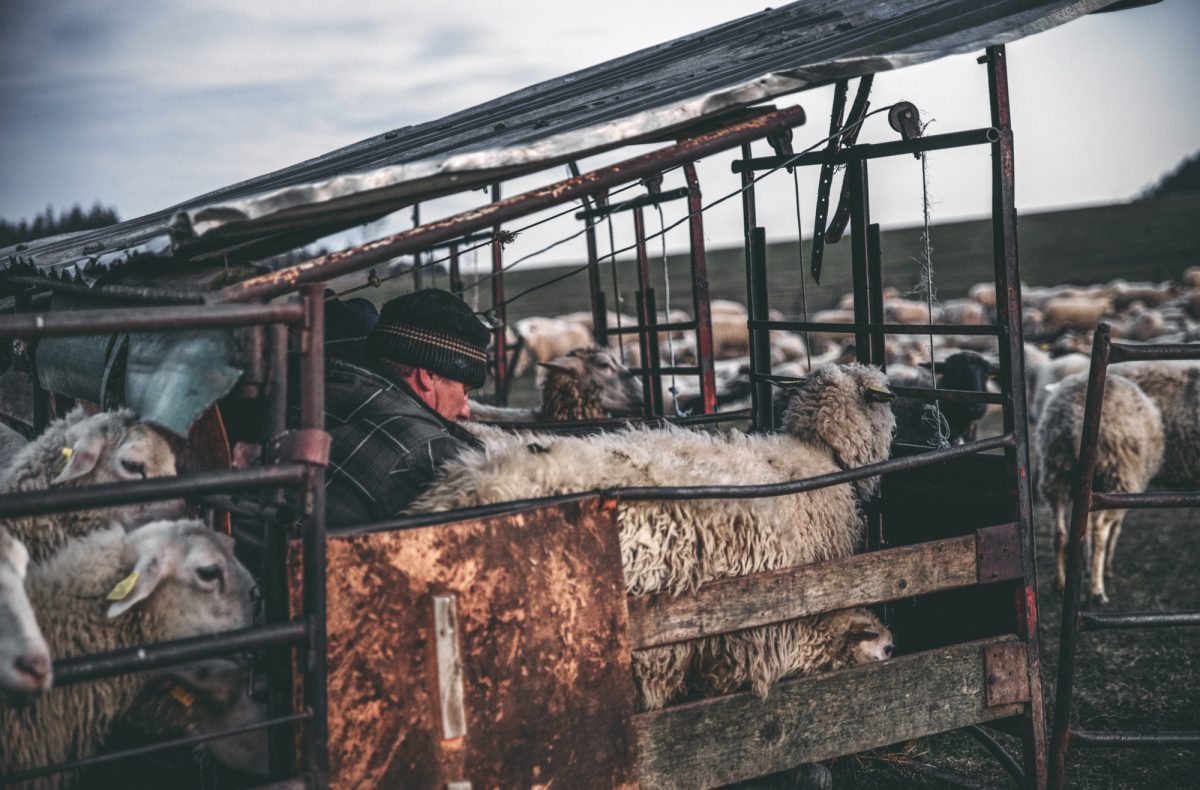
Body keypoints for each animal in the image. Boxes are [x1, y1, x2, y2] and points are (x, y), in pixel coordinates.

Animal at [1032, 372, 1161, 600]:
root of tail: (1075, 421)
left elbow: (1087, 527)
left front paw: (1086, 564)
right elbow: (1114, 529)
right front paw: (1105, 568)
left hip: (1055, 472)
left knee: (1060, 532)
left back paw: (1060, 582)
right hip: (1119, 474)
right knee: (1101, 529)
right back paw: (1097, 590)